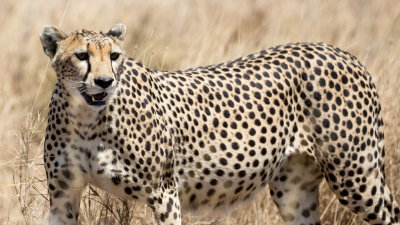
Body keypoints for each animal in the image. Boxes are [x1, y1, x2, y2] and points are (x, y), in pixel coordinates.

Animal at [41, 23, 400, 224]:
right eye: (82, 56)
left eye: (114, 56)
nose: (104, 82)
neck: (86, 120)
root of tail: (339, 51)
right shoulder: (63, 194)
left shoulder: (165, 193)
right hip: (293, 189)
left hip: (356, 177)